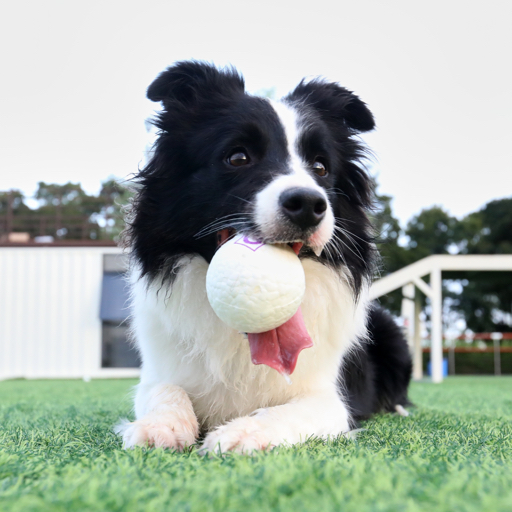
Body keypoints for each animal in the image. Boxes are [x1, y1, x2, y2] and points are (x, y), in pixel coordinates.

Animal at [116, 61, 412, 456]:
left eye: (320, 167)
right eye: (238, 157)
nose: (309, 205)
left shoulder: (332, 399)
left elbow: (291, 411)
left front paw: (242, 433)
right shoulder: (158, 374)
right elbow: (165, 391)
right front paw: (159, 427)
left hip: (392, 332)